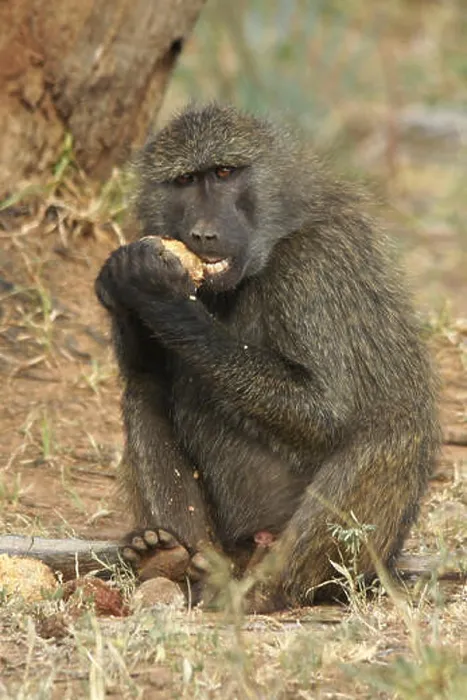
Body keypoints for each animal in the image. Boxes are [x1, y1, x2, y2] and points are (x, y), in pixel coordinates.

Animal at [94, 103, 440, 611]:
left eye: (224, 173)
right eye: (184, 181)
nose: (203, 233)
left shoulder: (313, 266)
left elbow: (326, 412)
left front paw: (161, 296)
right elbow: (142, 373)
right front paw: (121, 281)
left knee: (388, 430)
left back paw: (264, 594)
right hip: (225, 542)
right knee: (143, 392)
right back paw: (172, 561)